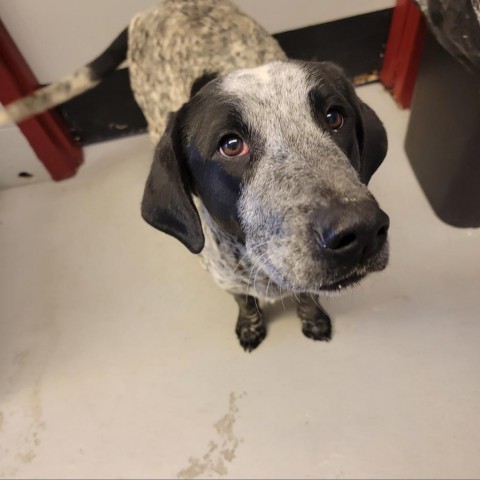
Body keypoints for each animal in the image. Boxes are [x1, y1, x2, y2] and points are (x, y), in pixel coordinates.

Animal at [0, 0, 390, 352]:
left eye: (334, 117)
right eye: (230, 145)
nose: (361, 229)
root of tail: (153, 10)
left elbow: (307, 297)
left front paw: (312, 319)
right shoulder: (225, 278)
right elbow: (244, 302)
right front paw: (251, 327)